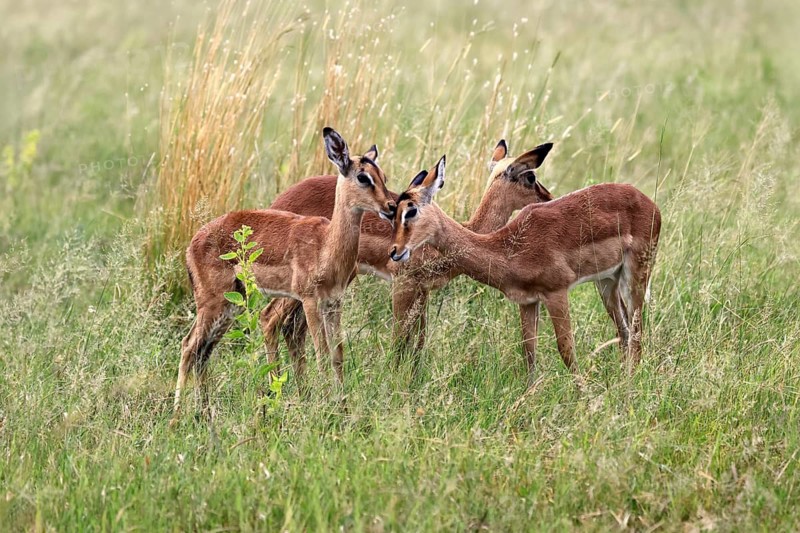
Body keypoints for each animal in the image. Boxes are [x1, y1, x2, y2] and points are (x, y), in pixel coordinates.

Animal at [172, 128, 396, 421]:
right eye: (362, 177)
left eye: (383, 176)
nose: (391, 207)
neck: (326, 245)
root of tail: (193, 241)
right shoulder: (310, 301)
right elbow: (321, 353)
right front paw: (326, 410)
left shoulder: (334, 302)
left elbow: (337, 355)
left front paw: (342, 409)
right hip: (213, 304)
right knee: (188, 346)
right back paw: (176, 417)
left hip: (229, 306)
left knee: (203, 353)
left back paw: (205, 414)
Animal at [257, 140, 555, 368]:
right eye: (530, 176)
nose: (549, 198)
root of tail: (278, 202)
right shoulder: (402, 283)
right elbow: (399, 343)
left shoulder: (423, 291)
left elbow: (418, 345)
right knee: (271, 319)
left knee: (292, 329)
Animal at [388, 155, 661, 381]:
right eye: (393, 211)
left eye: (410, 211)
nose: (394, 252)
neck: (510, 246)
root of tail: (650, 203)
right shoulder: (527, 301)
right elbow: (529, 352)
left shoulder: (556, 292)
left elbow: (566, 349)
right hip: (607, 282)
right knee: (624, 332)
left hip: (635, 276)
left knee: (636, 332)